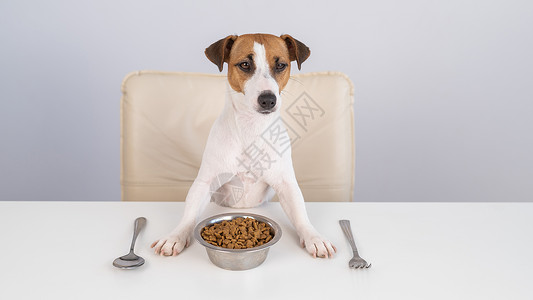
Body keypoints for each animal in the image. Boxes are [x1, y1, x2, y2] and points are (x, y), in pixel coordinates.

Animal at [150, 32, 334, 258]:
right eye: (245, 64)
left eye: (281, 65)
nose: (268, 99)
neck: (251, 128)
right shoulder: (205, 183)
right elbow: (189, 214)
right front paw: (175, 236)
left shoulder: (286, 185)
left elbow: (300, 214)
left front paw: (314, 238)